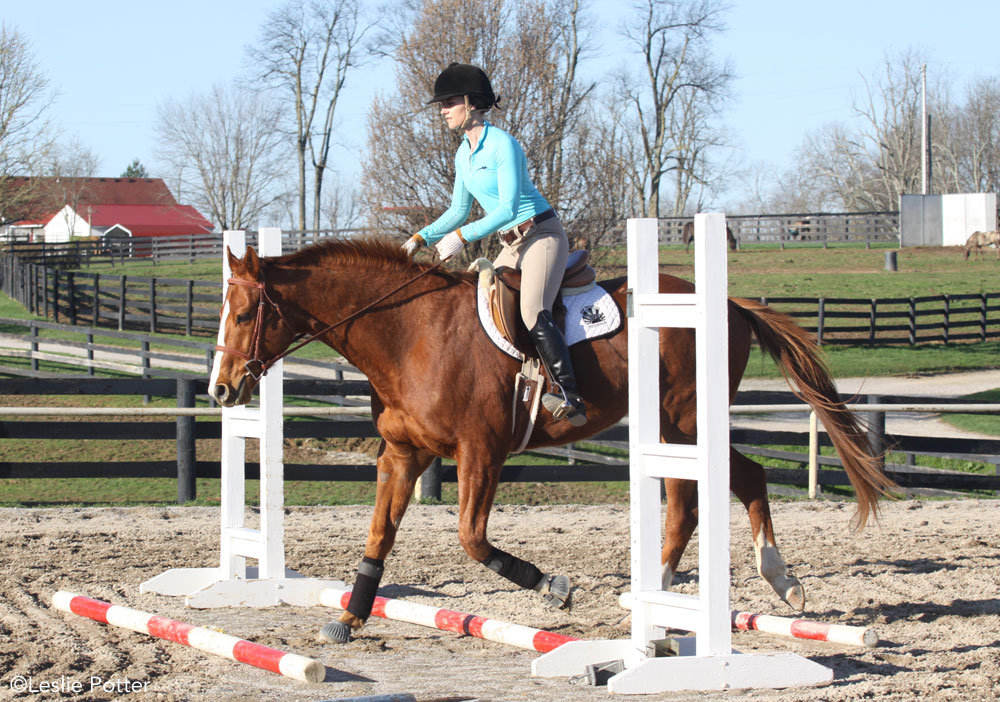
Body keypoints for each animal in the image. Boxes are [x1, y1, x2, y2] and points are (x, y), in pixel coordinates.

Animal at [209, 239, 892, 648]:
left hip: (688, 422)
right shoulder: (403, 456)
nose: (220, 389)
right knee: (691, 500)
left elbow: (473, 541)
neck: (408, 334)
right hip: (670, 429)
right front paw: (349, 617)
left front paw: (555, 588)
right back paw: (666, 595)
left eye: (242, 316)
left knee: (739, 480)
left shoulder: (481, 454)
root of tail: (728, 303)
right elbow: (379, 536)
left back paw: (773, 583)